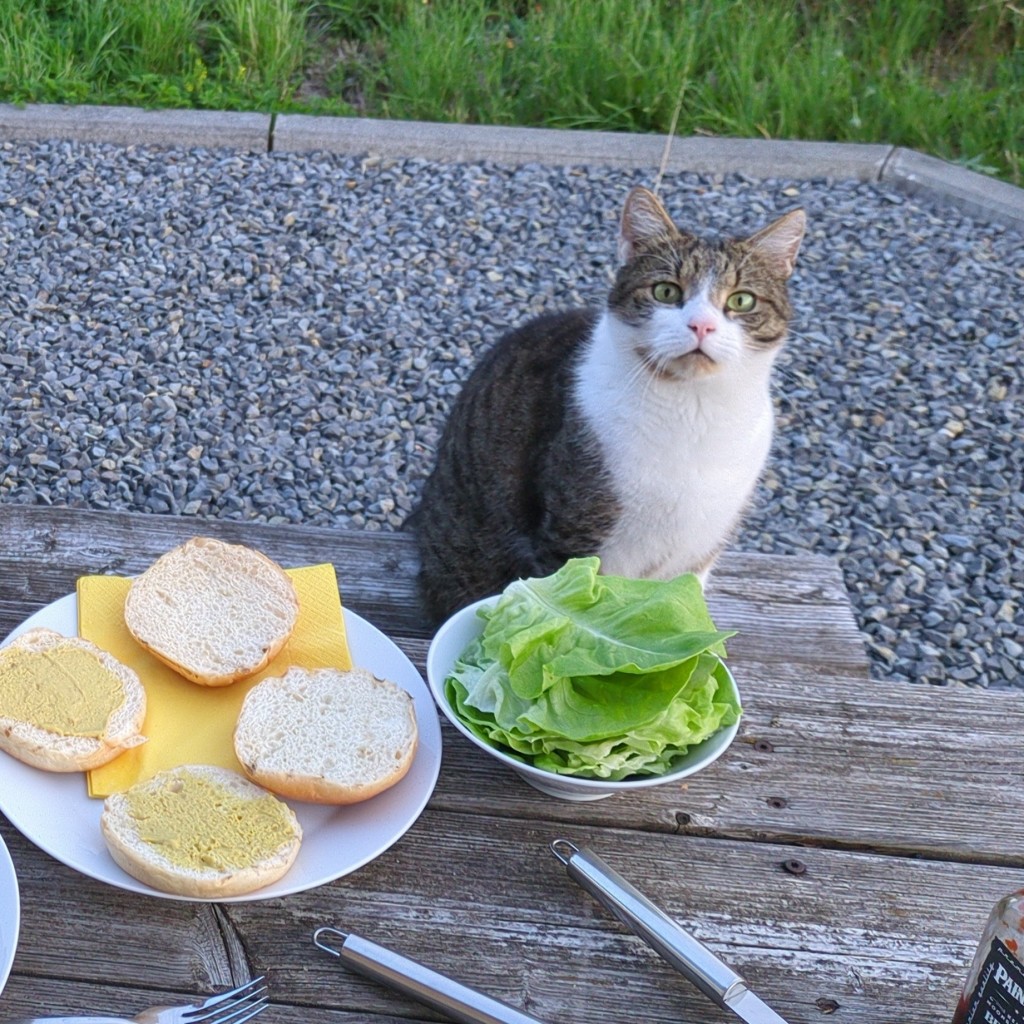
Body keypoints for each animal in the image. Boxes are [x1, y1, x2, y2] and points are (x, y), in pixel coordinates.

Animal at [411, 188, 802, 626]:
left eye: (742, 300)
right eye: (666, 292)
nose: (702, 325)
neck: (693, 411)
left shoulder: (700, 551)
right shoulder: (574, 534)